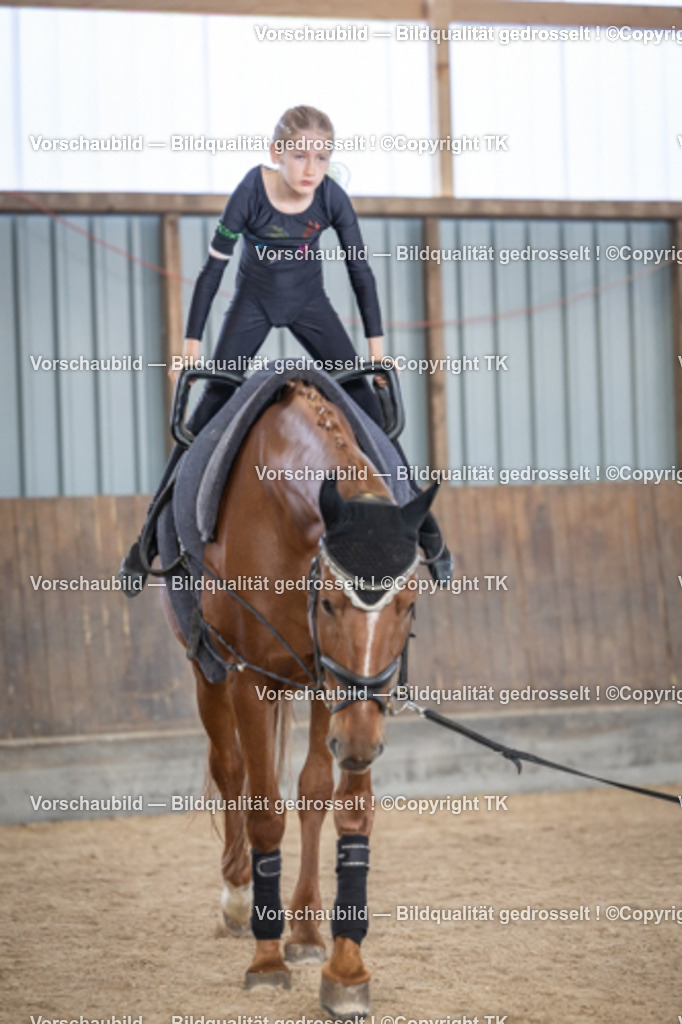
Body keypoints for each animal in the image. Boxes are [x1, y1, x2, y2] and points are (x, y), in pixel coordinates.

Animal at [164, 378, 437, 1016]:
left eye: (408, 603)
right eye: (331, 603)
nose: (359, 745)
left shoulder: (340, 691)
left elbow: (339, 804)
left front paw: (342, 967)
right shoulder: (251, 678)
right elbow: (265, 810)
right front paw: (266, 961)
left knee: (308, 787)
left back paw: (305, 928)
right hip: (209, 672)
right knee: (231, 768)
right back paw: (238, 897)